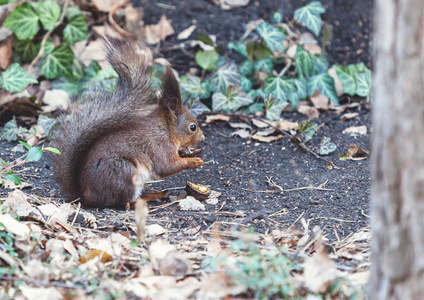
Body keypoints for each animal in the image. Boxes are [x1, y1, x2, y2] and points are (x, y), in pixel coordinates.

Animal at [50, 35, 206, 209]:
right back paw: (146, 198)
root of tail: (85, 197)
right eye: (192, 127)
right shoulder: (159, 146)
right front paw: (192, 161)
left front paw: (188, 152)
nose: (203, 138)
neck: (166, 129)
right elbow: (166, 166)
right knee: (125, 201)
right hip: (125, 173)